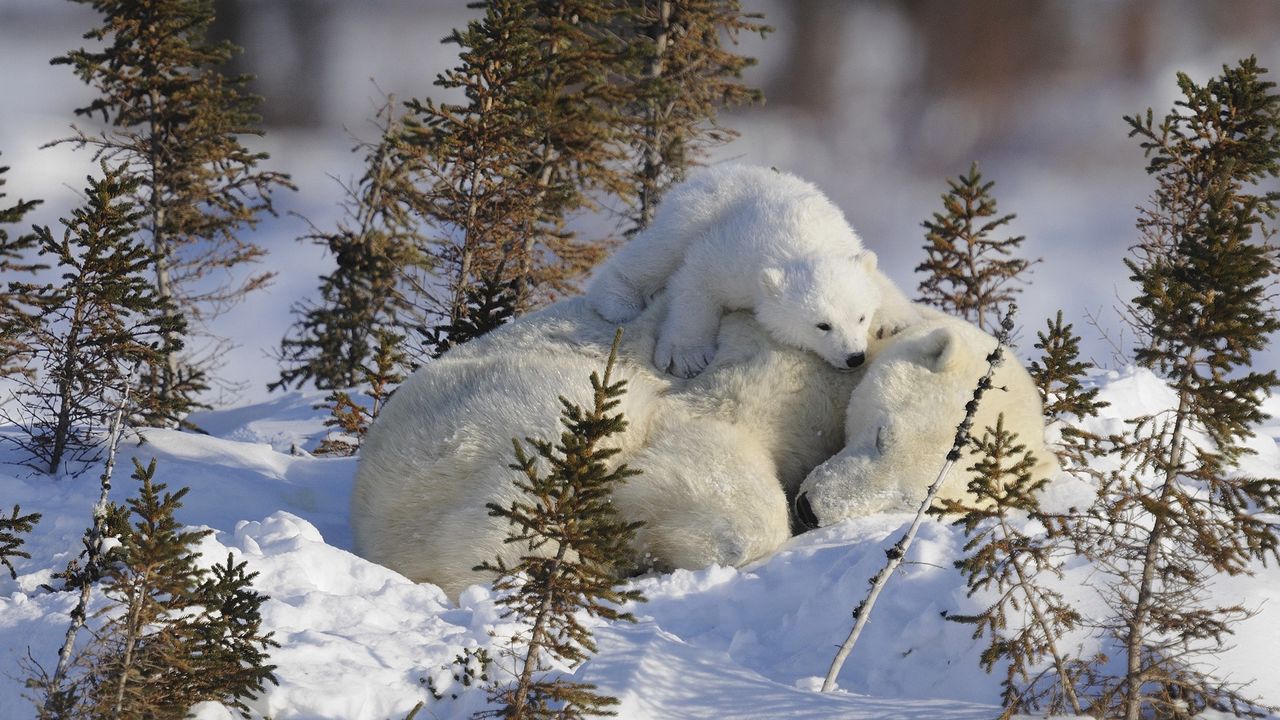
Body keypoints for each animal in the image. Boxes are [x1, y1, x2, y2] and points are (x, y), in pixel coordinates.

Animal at [586, 162, 916, 376]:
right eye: (822, 325)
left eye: (861, 317)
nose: (855, 357)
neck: (804, 240)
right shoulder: (734, 255)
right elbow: (696, 280)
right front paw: (687, 357)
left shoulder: (844, 240)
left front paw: (893, 320)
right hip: (693, 213)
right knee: (657, 251)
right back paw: (618, 300)